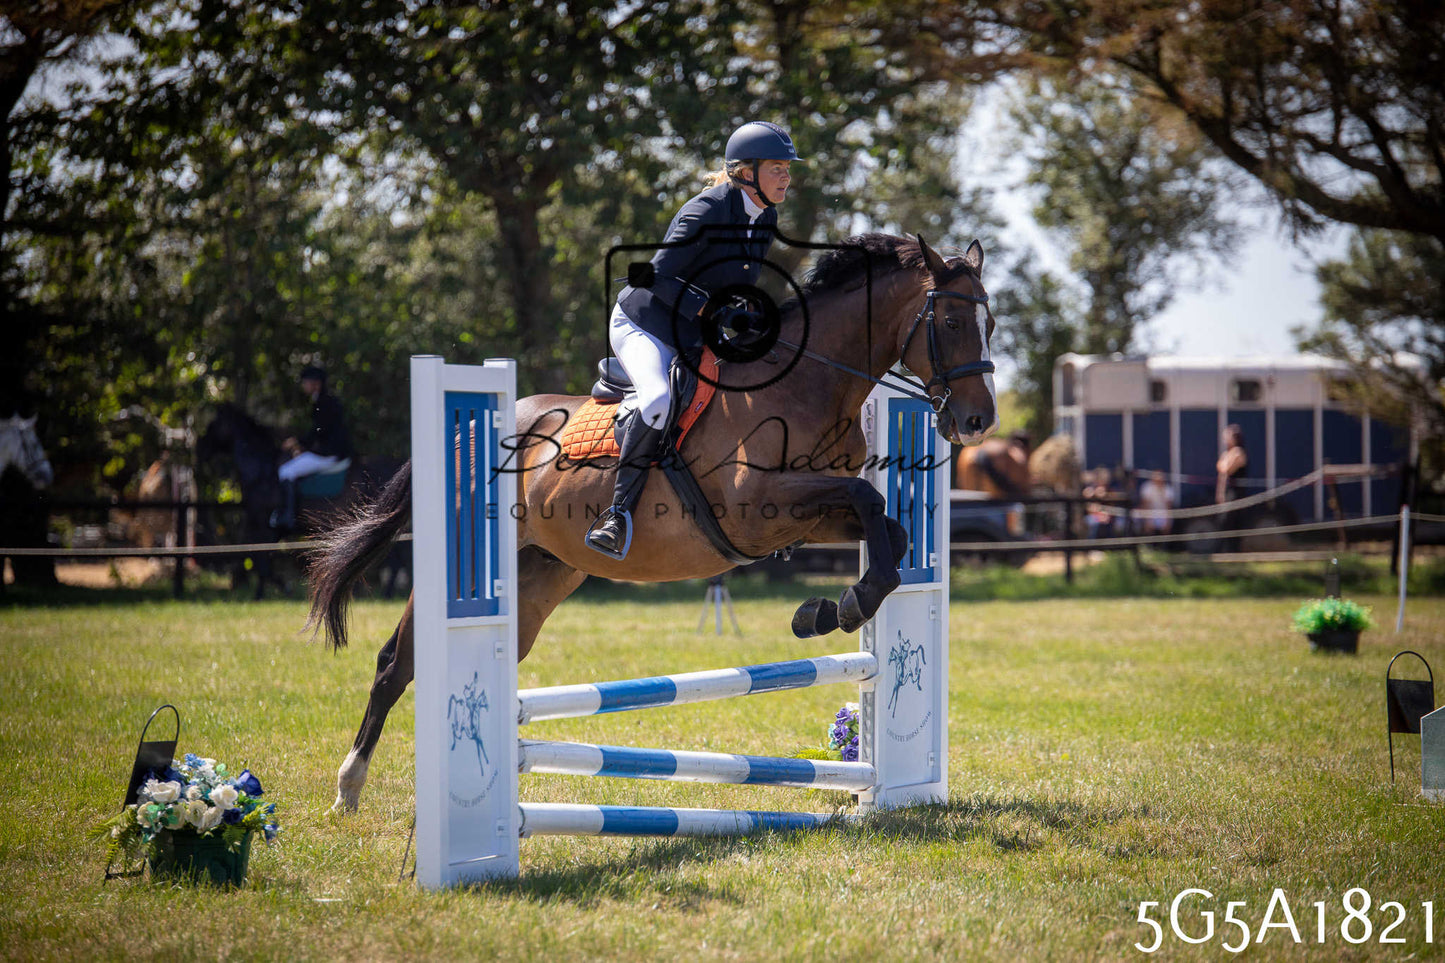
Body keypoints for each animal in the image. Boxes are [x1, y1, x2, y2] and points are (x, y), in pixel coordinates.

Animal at [307, 232, 1000, 811]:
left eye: (989, 322)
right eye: (952, 321)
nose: (978, 420)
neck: (807, 384)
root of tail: (467, 436)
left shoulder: (807, 520)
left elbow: (890, 527)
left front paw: (829, 610)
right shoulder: (756, 507)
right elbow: (866, 497)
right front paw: (845, 607)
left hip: (539, 577)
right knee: (395, 662)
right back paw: (348, 787)